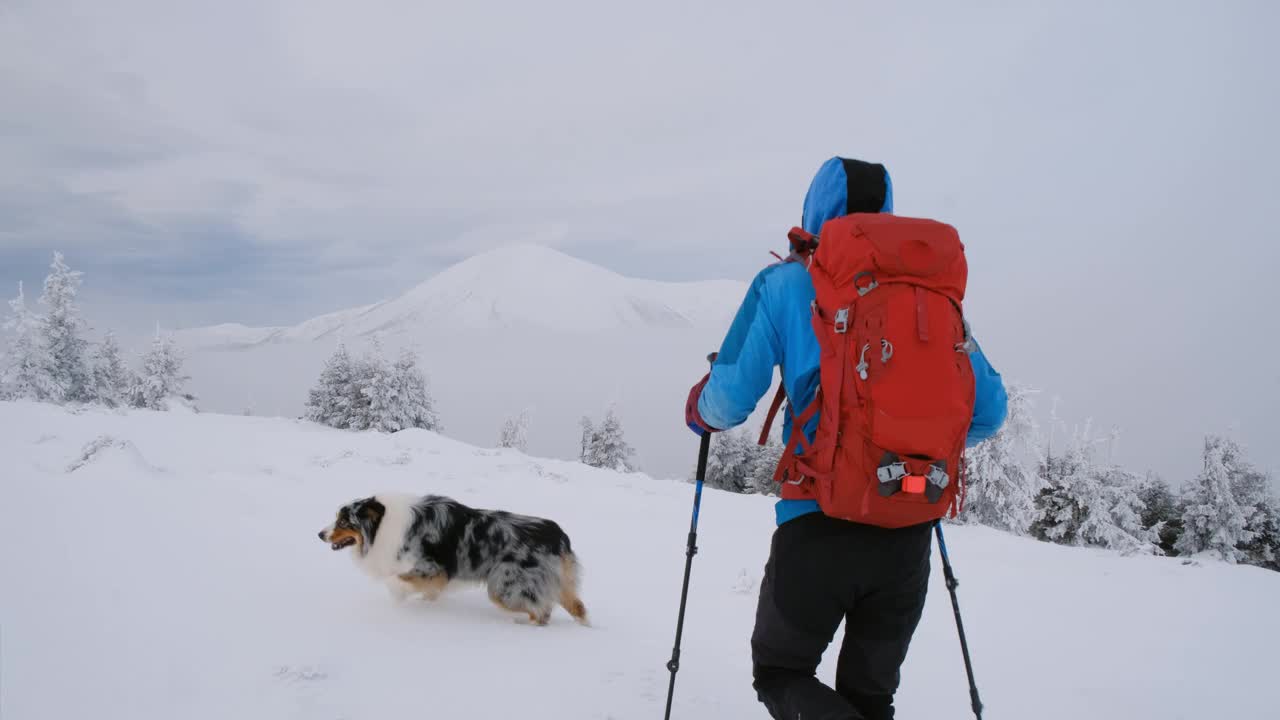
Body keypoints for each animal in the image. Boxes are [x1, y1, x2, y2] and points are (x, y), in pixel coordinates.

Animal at [317, 489, 586, 625]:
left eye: (344, 521)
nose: (320, 534)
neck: (383, 525)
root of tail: (559, 536)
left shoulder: (432, 569)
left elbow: (397, 581)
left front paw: (399, 601)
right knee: (577, 608)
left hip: (505, 588)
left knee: (541, 612)